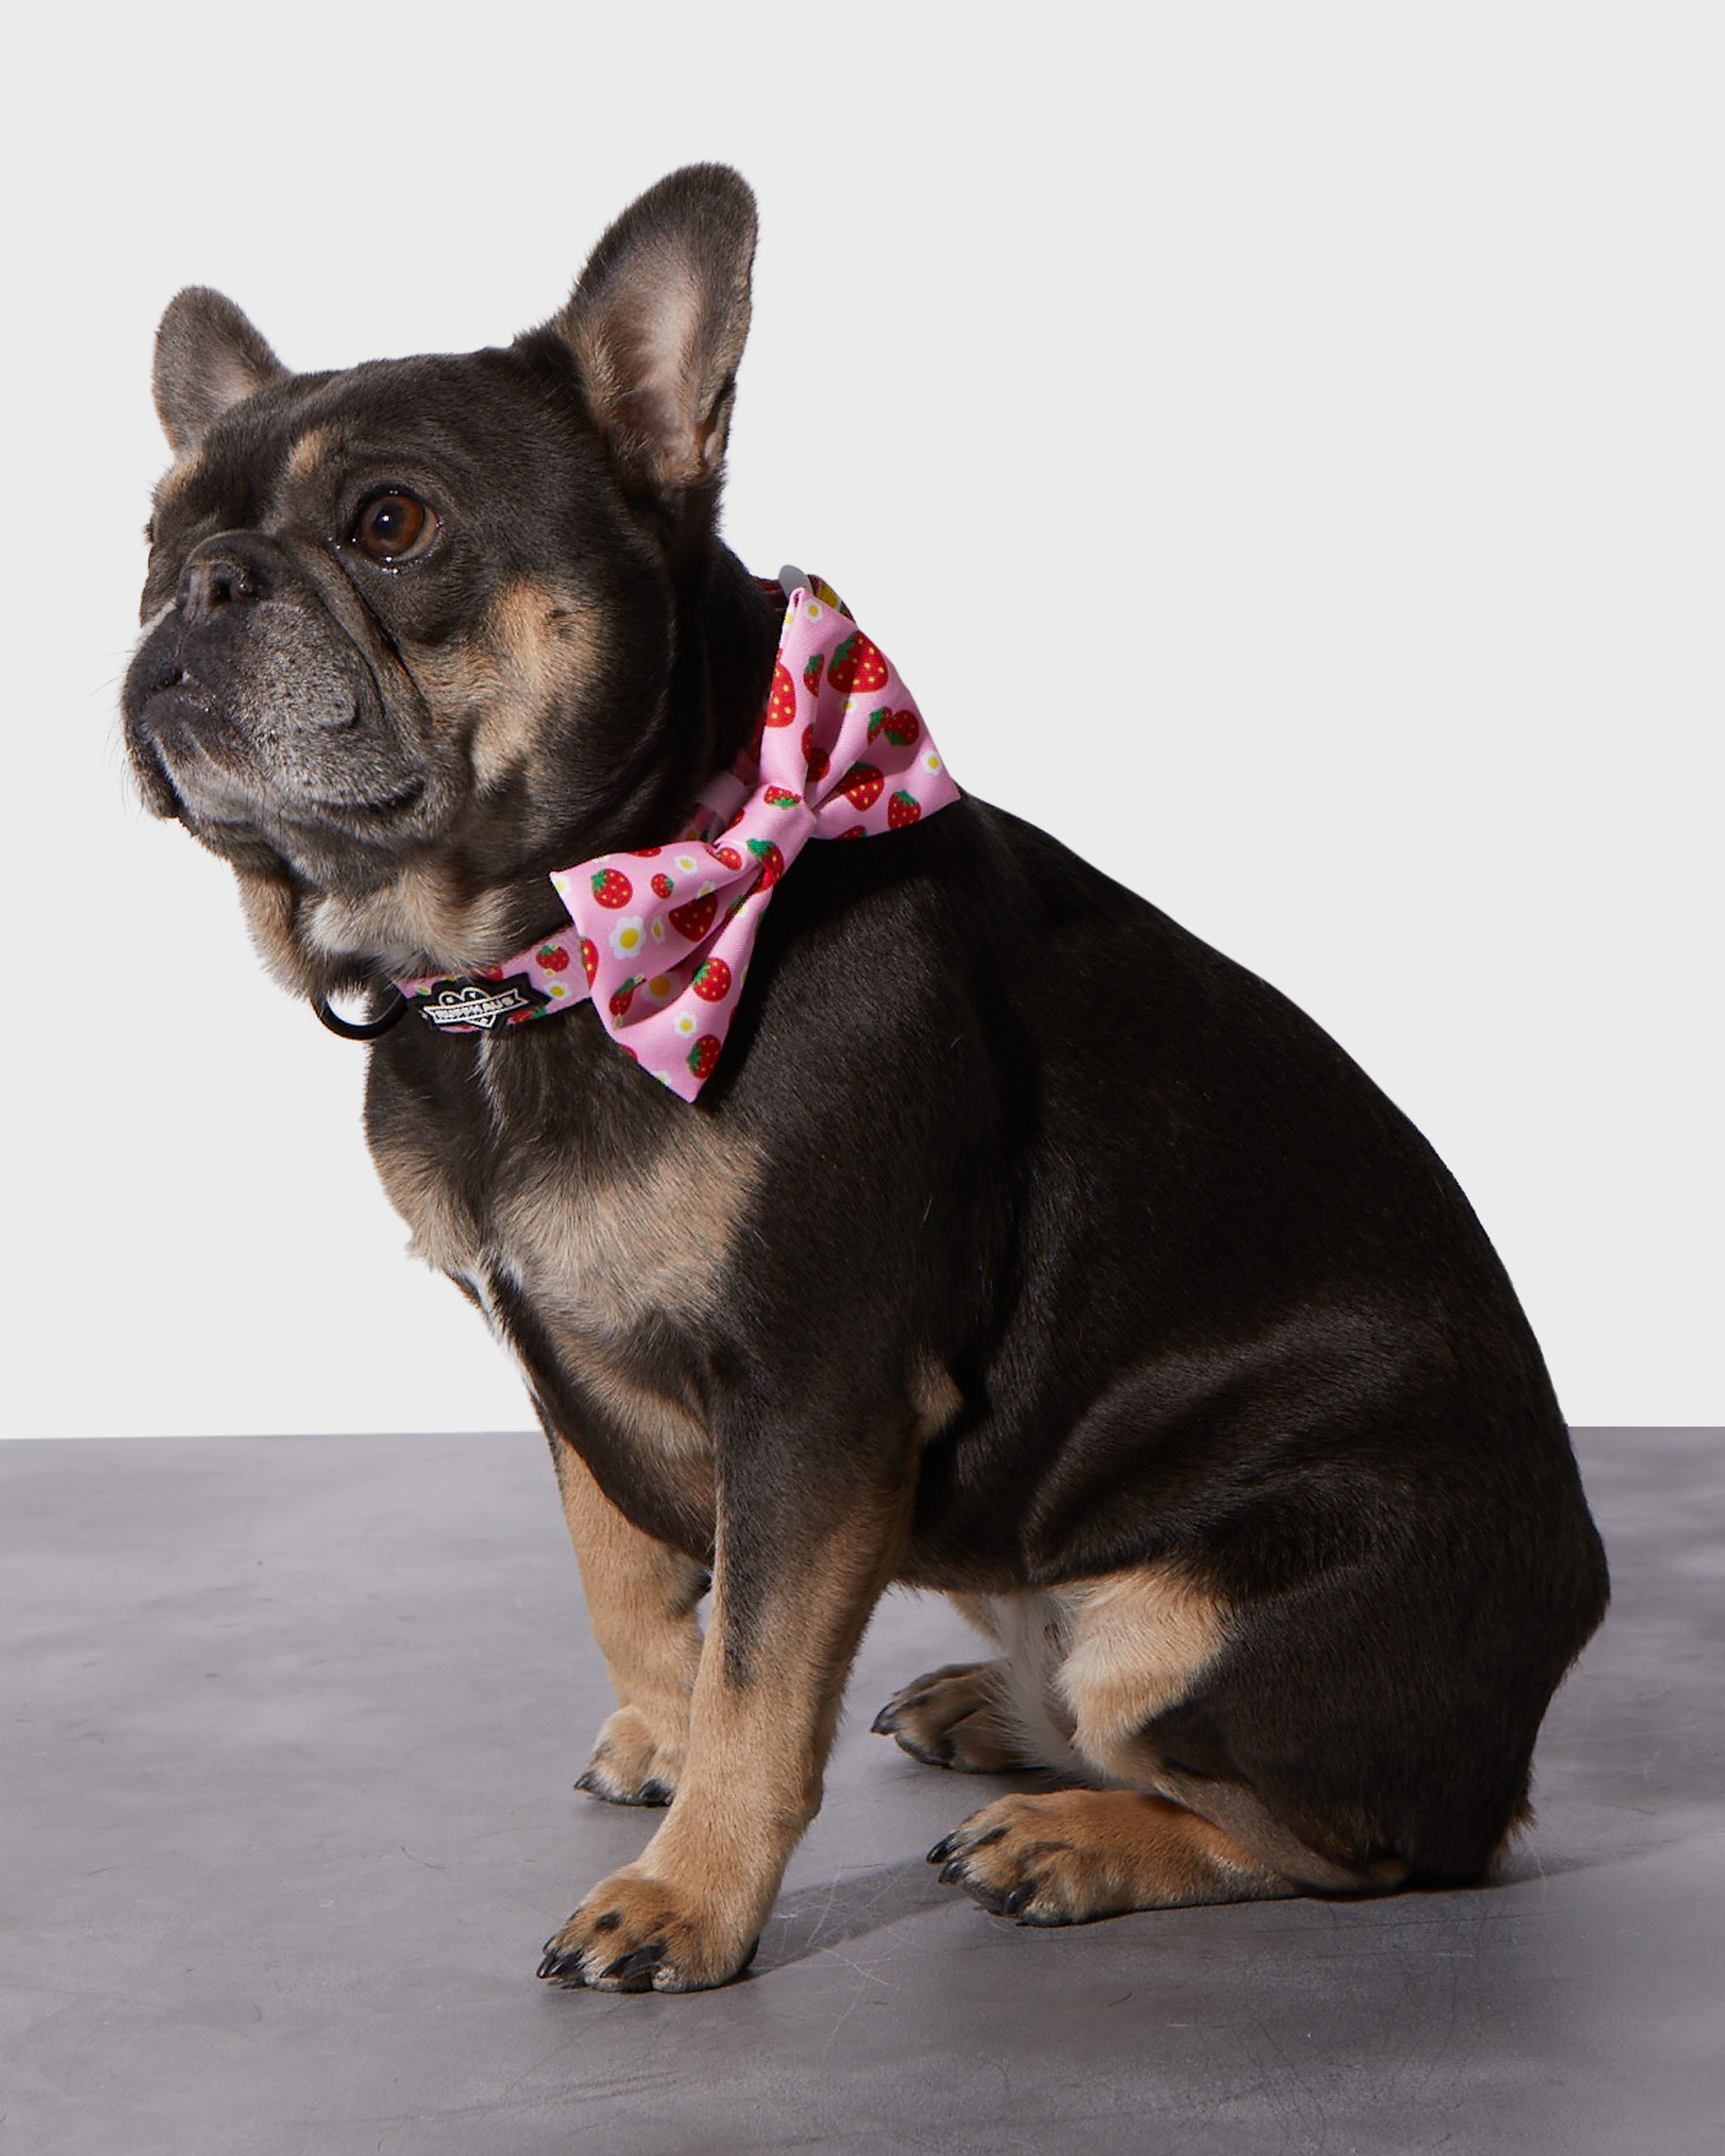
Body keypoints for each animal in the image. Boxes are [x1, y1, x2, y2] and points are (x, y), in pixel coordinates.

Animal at [121, 160, 1604, 1992]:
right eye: (151, 542)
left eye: (390, 521)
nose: (197, 590)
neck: (538, 971)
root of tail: (1532, 1701)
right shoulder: (562, 1364)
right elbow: (627, 1572)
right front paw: (660, 1736)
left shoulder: (814, 1391)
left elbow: (762, 1669)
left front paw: (689, 1895)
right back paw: (998, 1712)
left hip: (1188, 1622)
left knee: (1345, 1843)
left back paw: (1080, 1835)